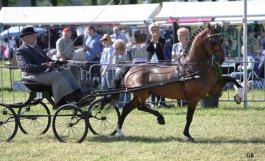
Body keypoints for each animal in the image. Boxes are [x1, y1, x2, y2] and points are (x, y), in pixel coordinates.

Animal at [107, 23, 241, 142]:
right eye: (213, 41)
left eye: (221, 39)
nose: (221, 59)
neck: (193, 67)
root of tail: (131, 69)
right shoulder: (194, 98)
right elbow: (189, 117)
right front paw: (188, 135)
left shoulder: (213, 88)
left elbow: (231, 78)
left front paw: (238, 96)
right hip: (142, 93)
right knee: (140, 107)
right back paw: (160, 118)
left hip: (141, 94)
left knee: (127, 108)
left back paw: (119, 131)